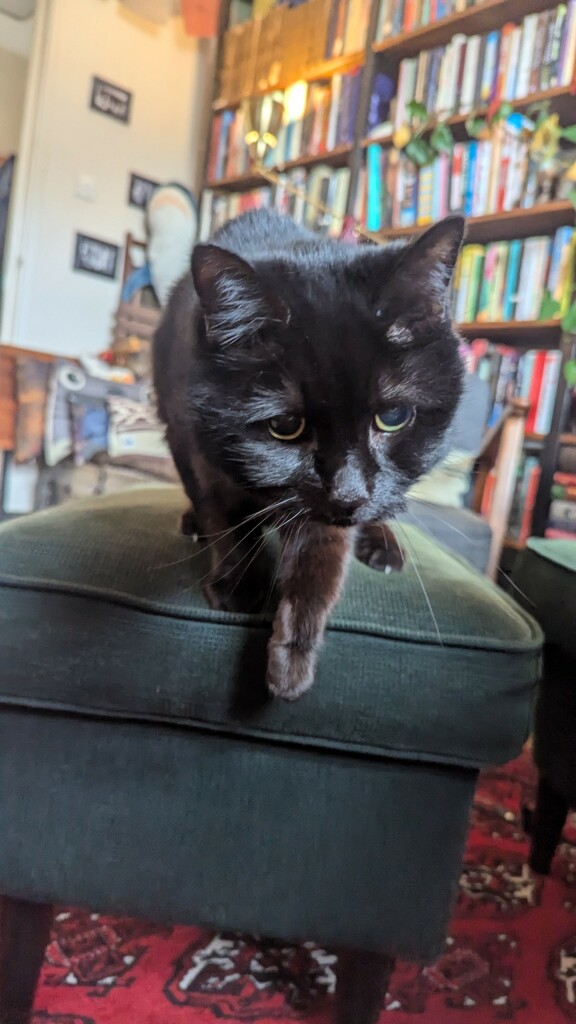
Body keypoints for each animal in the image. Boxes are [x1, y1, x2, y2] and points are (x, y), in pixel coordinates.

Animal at [151, 210, 461, 700]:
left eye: (393, 417)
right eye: (285, 426)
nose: (350, 495)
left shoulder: (325, 513)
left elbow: (320, 561)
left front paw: (293, 658)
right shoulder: (197, 444)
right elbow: (223, 517)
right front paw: (240, 584)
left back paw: (382, 543)